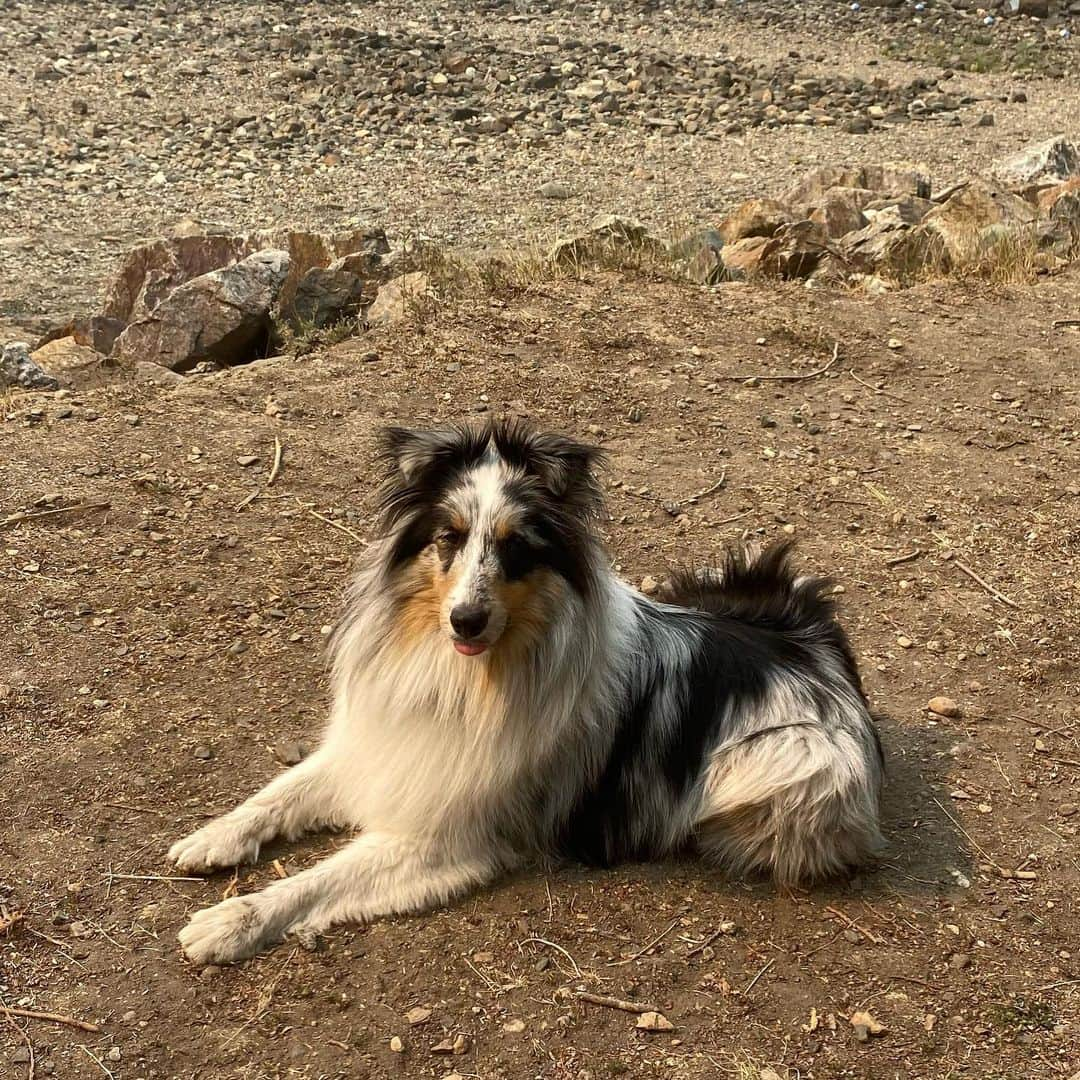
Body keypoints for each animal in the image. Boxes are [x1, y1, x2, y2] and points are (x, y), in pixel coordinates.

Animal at [166, 419, 876, 963]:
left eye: (516, 549)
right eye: (448, 537)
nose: (465, 620)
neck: (469, 676)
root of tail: (822, 648)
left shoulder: (446, 834)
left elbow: (318, 879)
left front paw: (232, 920)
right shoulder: (378, 745)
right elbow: (276, 795)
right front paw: (212, 838)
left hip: (780, 759)